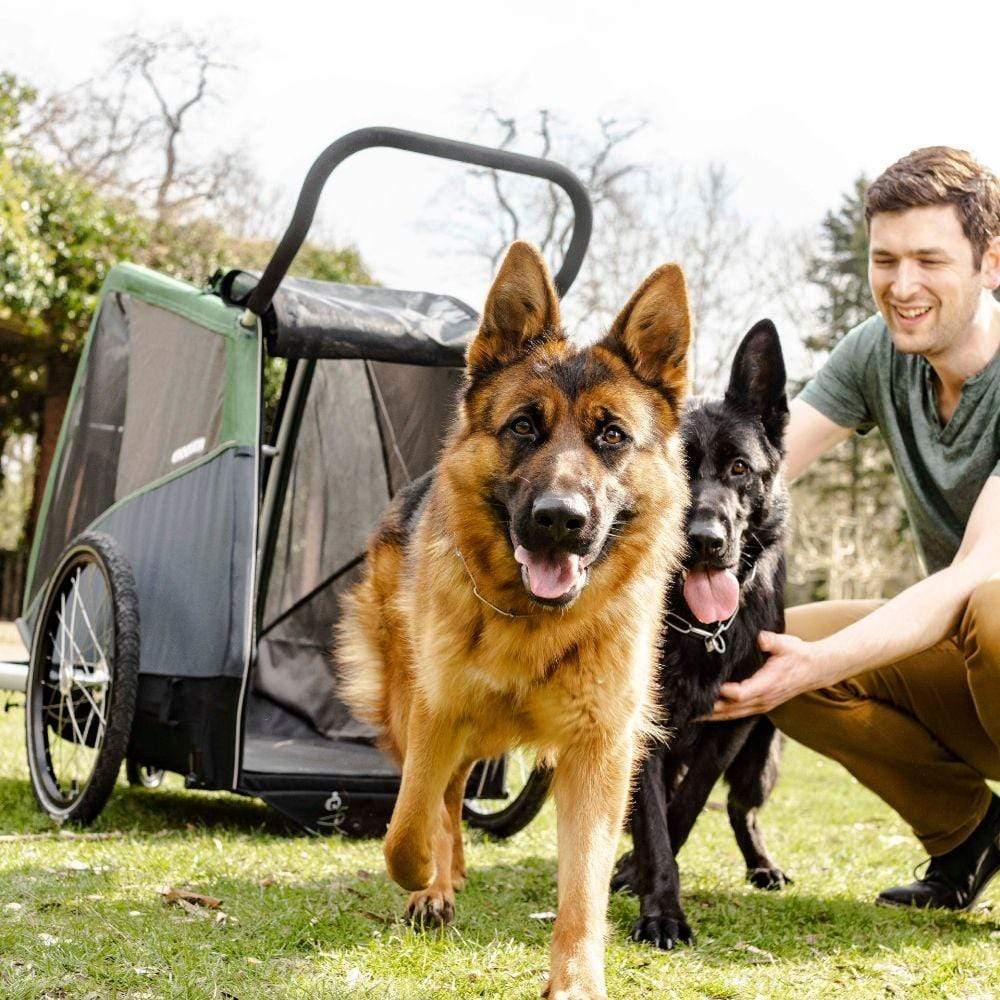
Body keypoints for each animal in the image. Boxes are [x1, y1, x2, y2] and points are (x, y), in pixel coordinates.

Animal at [340, 242, 692, 1000]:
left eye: (611, 435)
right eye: (525, 425)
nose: (560, 520)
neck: (534, 626)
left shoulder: (600, 753)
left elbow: (584, 886)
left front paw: (577, 980)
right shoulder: (435, 712)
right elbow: (407, 827)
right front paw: (423, 877)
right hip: (407, 702)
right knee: (440, 801)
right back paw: (438, 883)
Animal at [608, 318, 788, 944]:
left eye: (739, 468)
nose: (705, 541)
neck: (695, 629)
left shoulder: (732, 725)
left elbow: (688, 806)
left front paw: (639, 877)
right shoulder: (639, 730)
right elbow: (654, 824)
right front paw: (660, 908)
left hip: (764, 753)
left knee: (742, 807)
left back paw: (762, 865)